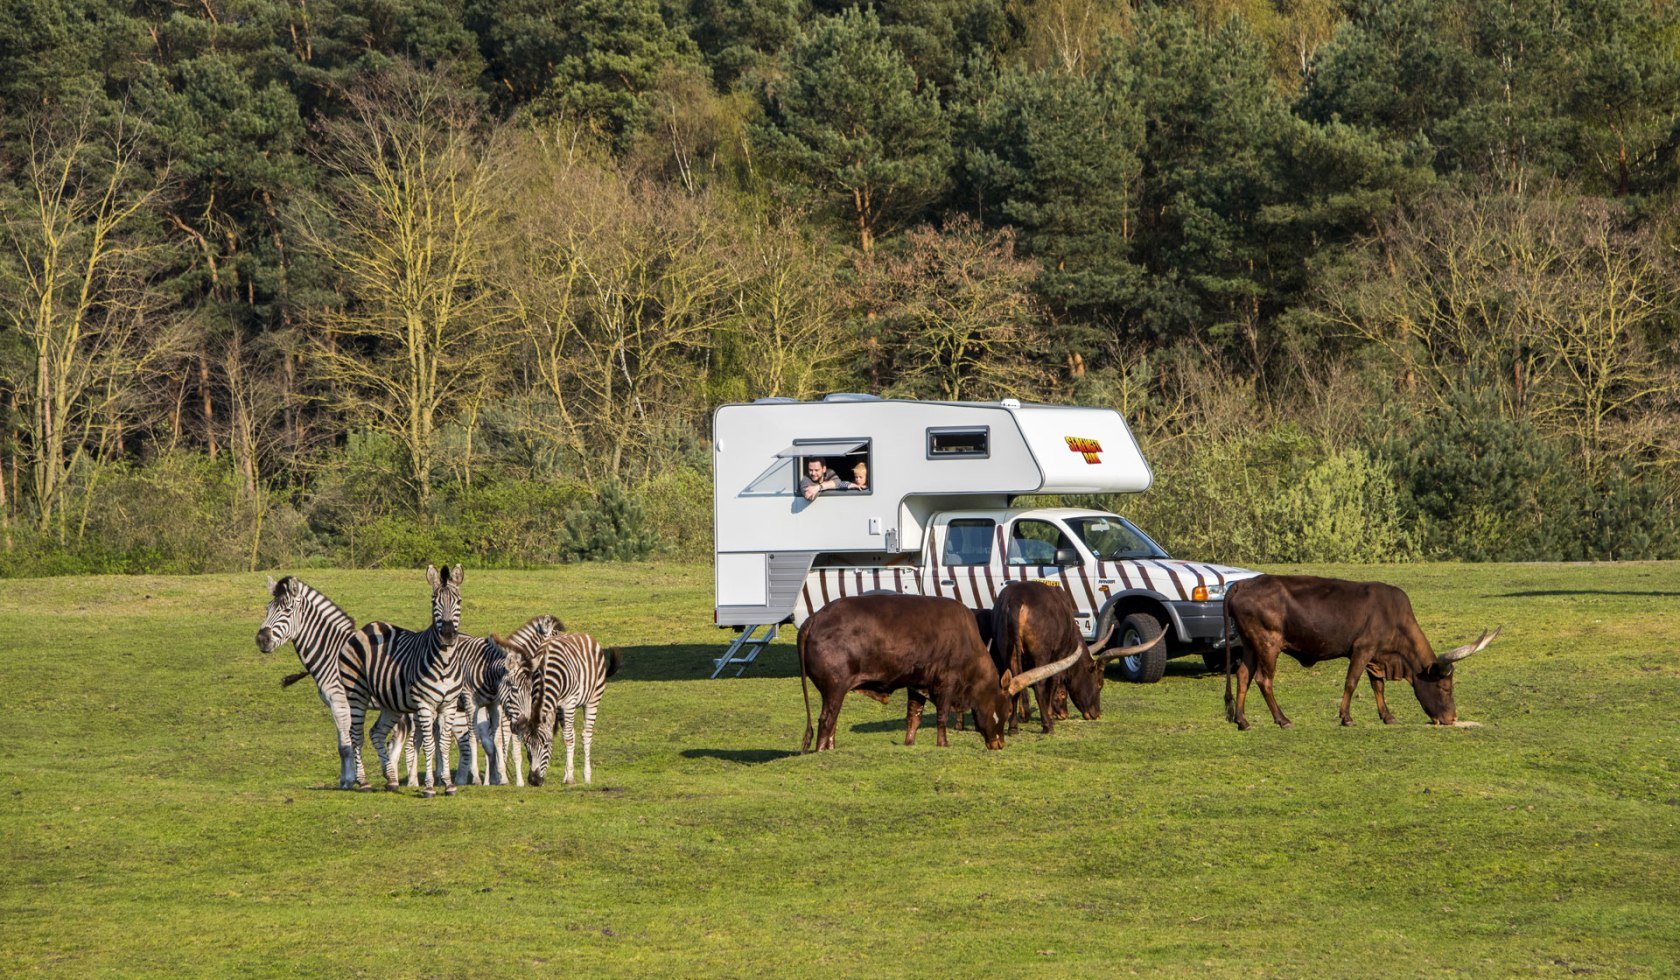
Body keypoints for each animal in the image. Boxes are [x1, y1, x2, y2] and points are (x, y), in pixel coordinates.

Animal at [337, 568, 467, 796]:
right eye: (434, 602)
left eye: (458, 601)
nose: (448, 635)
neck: (445, 661)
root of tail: (367, 628)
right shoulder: (424, 704)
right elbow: (429, 744)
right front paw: (429, 787)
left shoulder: (449, 705)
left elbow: (443, 744)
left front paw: (449, 785)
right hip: (356, 692)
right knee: (356, 735)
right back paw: (363, 782)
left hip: (391, 703)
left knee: (376, 732)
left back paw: (391, 779)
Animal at [520, 628, 621, 790]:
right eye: (526, 745)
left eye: (546, 745)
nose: (534, 780)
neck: (544, 673)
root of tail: (584, 634)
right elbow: (567, 736)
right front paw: (568, 775)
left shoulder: (568, 703)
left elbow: (568, 738)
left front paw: (570, 779)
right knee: (572, 732)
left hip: (592, 699)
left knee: (586, 734)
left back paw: (587, 776)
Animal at [796, 591, 1088, 753]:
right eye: (1005, 711)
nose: (999, 744)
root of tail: (814, 619)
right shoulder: (946, 682)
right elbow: (942, 715)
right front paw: (943, 743)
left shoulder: (917, 683)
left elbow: (913, 716)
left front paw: (910, 743)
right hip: (834, 687)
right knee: (826, 721)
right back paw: (822, 751)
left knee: (832, 722)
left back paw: (832, 748)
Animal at [1216, 574, 1505, 729]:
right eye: (1445, 687)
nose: (1451, 718)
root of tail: (1243, 584)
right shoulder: (1362, 649)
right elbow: (1351, 682)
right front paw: (1346, 717)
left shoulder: (1376, 657)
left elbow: (1378, 685)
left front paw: (1387, 716)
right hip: (1268, 644)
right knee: (1264, 679)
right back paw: (1282, 719)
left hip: (1251, 645)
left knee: (1243, 676)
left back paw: (1242, 720)